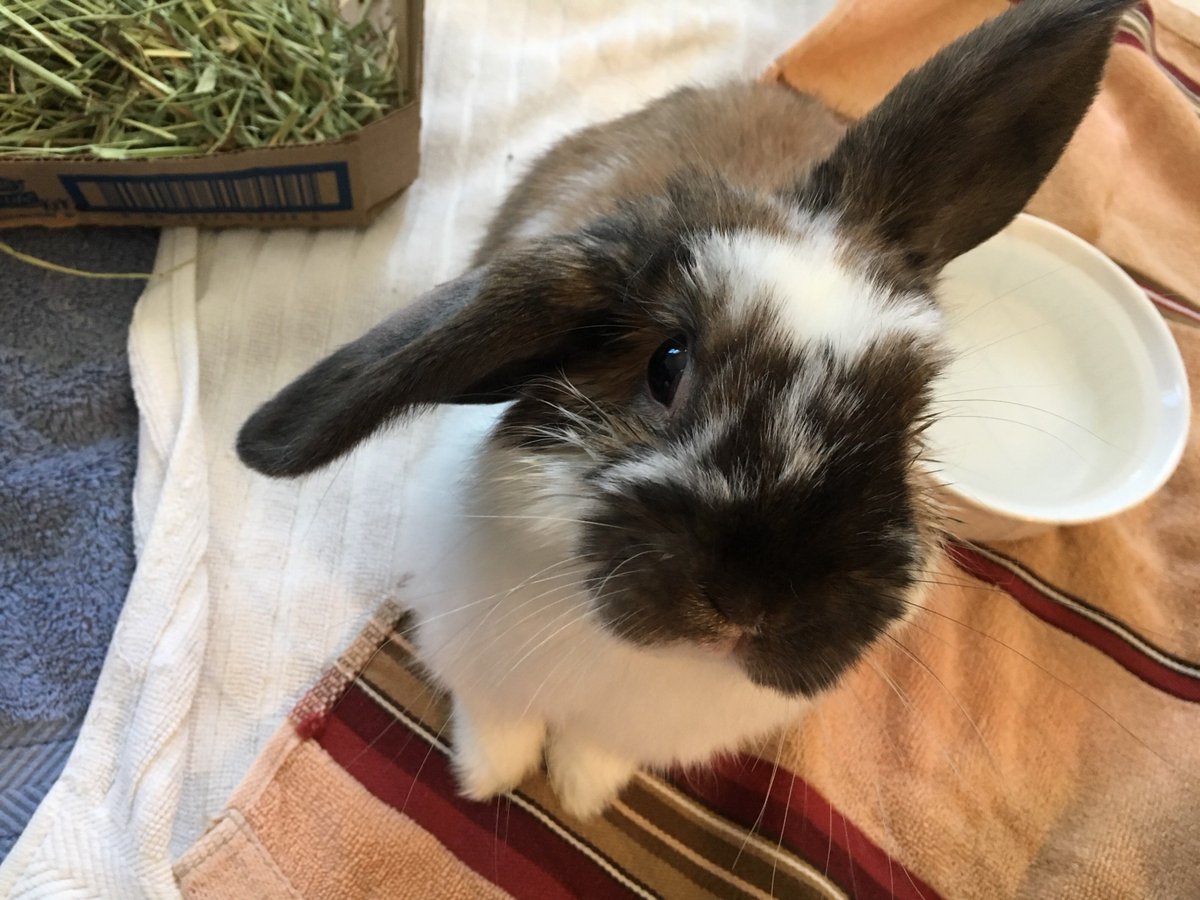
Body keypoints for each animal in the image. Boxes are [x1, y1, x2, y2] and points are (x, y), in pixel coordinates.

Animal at [237, 0, 1132, 820]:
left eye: (912, 419)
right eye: (665, 366)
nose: (753, 604)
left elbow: (596, 749)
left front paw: (581, 790)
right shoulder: (474, 654)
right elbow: (496, 720)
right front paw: (488, 777)